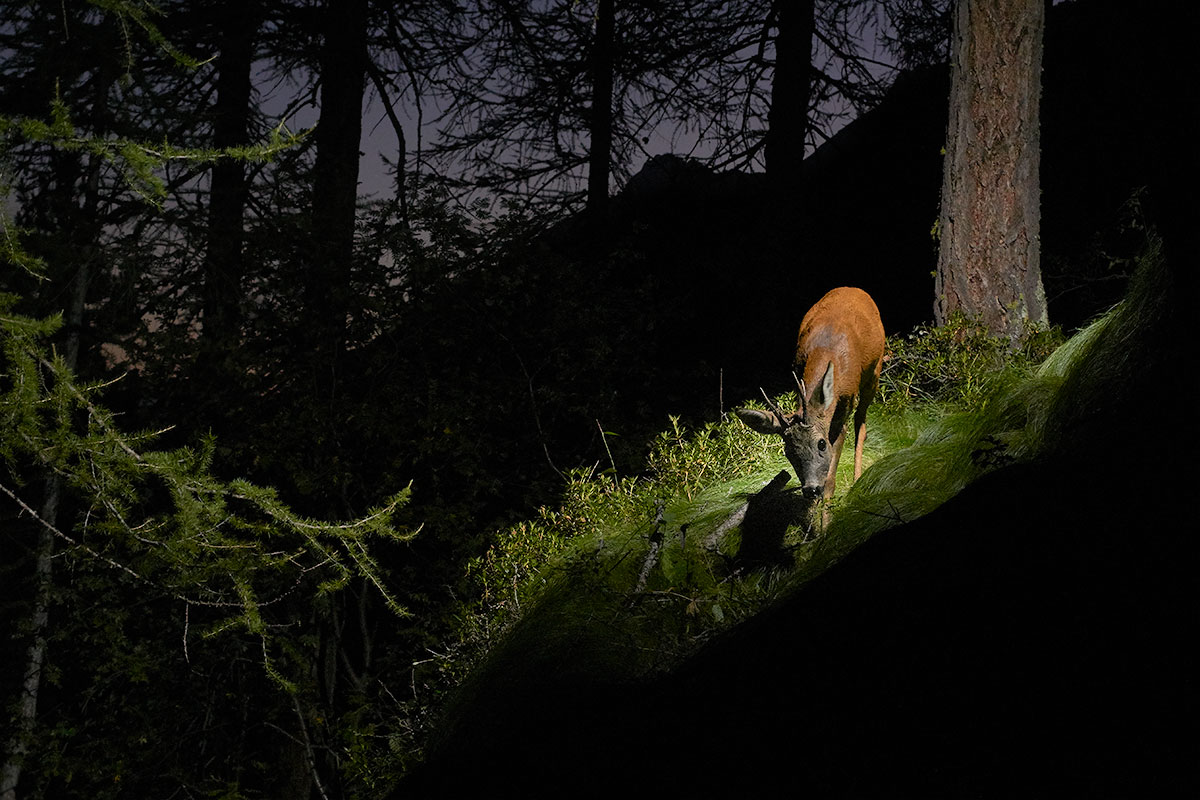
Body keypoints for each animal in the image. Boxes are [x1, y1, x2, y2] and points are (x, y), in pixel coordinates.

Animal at [736, 287, 886, 521]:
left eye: (821, 444)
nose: (810, 489)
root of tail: (853, 288)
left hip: (874, 372)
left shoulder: (842, 412)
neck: (826, 352)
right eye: (788, 452)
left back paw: (857, 480)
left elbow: (830, 480)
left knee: (861, 421)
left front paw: (826, 525)